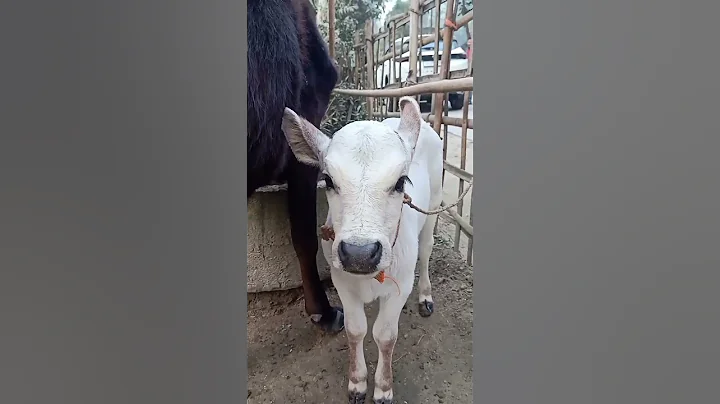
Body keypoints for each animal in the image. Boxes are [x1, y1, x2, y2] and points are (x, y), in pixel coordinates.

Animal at [281, 96, 444, 404]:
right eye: (328, 180)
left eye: (401, 181)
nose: (359, 254)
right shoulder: (341, 280)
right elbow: (356, 330)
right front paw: (357, 383)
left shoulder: (401, 285)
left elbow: (385, 336)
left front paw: (383, 387)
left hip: (435, 205)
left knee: (427, 250)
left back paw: (426, 296)